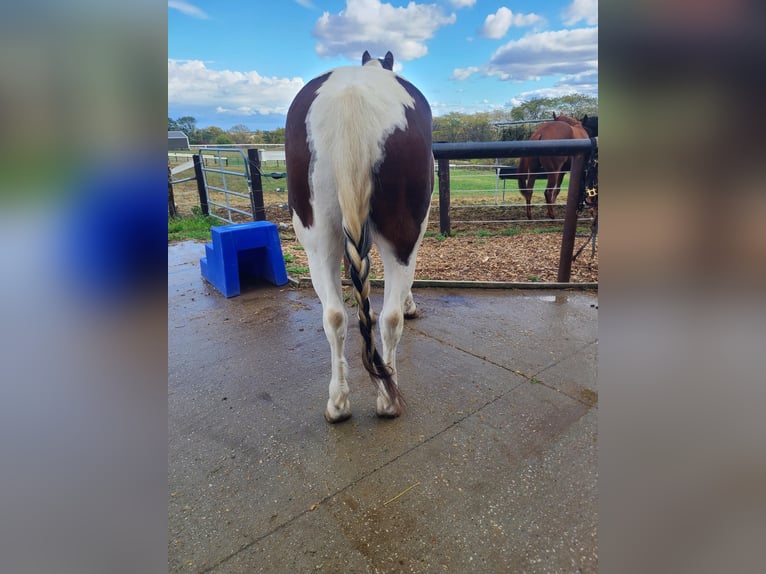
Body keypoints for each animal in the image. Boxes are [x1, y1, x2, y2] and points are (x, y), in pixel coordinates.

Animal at [284, 50, 436, 424]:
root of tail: (351, 99)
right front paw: (411, 304)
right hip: (403, 233)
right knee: (391, 318)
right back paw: (388, 402)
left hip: (318, 237)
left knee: (333, 316)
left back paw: (338, 403)